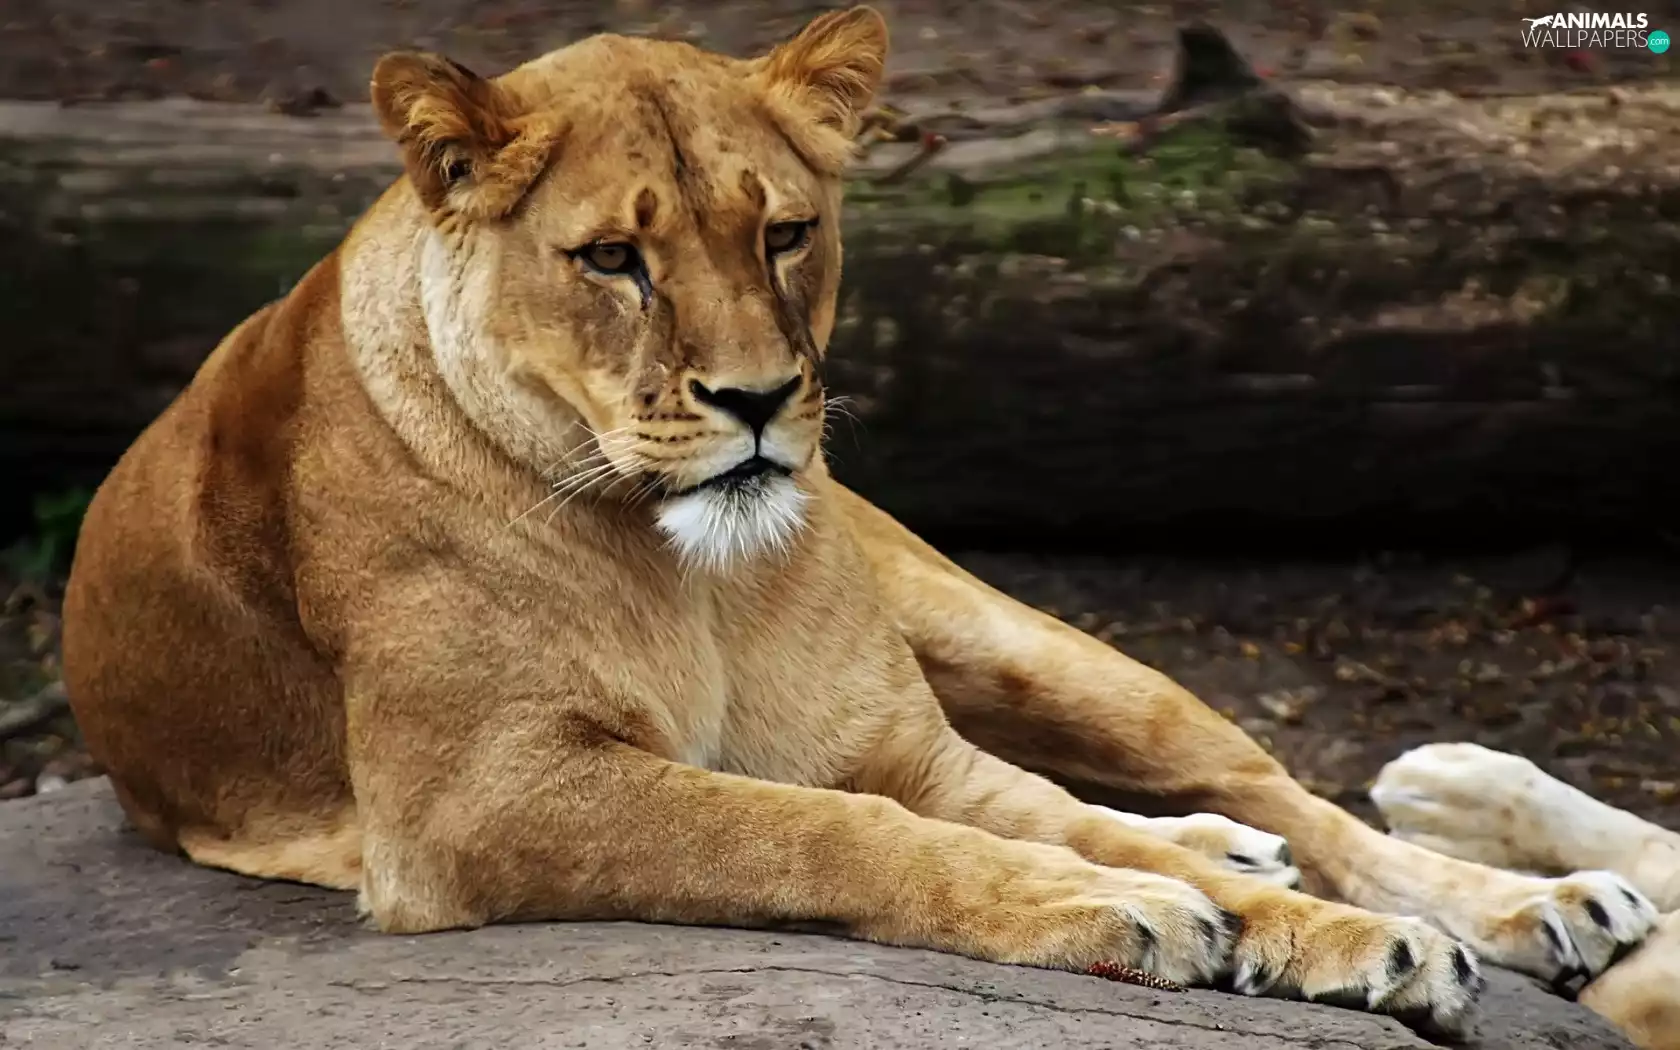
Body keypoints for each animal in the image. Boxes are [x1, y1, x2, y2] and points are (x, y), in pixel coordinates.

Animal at [59, 6, 1654, 1039]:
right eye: (614, 260)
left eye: (784, 232)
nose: (761, 400)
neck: (688, 573)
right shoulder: (477, 800)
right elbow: (835, 834)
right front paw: (1142, 910)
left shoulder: (899, 744)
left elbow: (1000, 817)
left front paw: (1348, 938)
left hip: (1019, 636)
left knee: (1278, 788)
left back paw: (1542, 903)